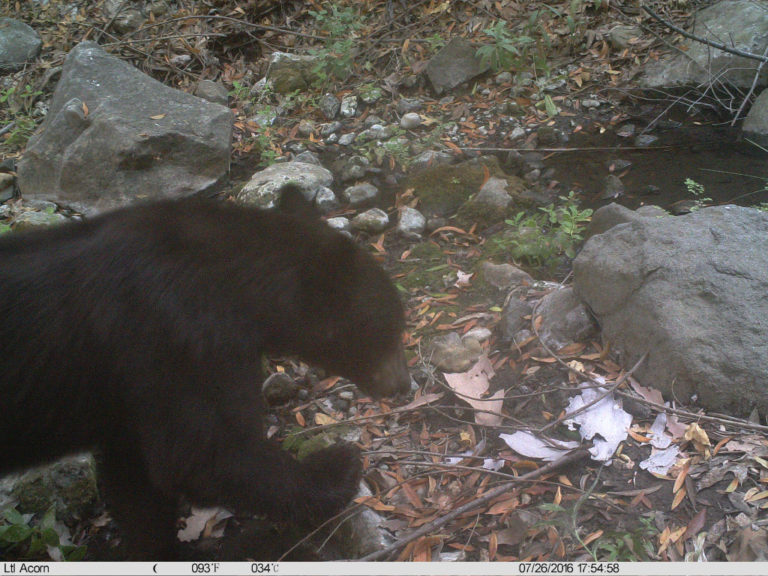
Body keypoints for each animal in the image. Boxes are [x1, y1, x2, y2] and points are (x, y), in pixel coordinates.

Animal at [0, 184, 410, 560]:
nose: (404, 384)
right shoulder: (179, 341)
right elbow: (206, 453)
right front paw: (338, 467)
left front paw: (159, 548)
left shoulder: (130, 399)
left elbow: (136, 479)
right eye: (390, 328)